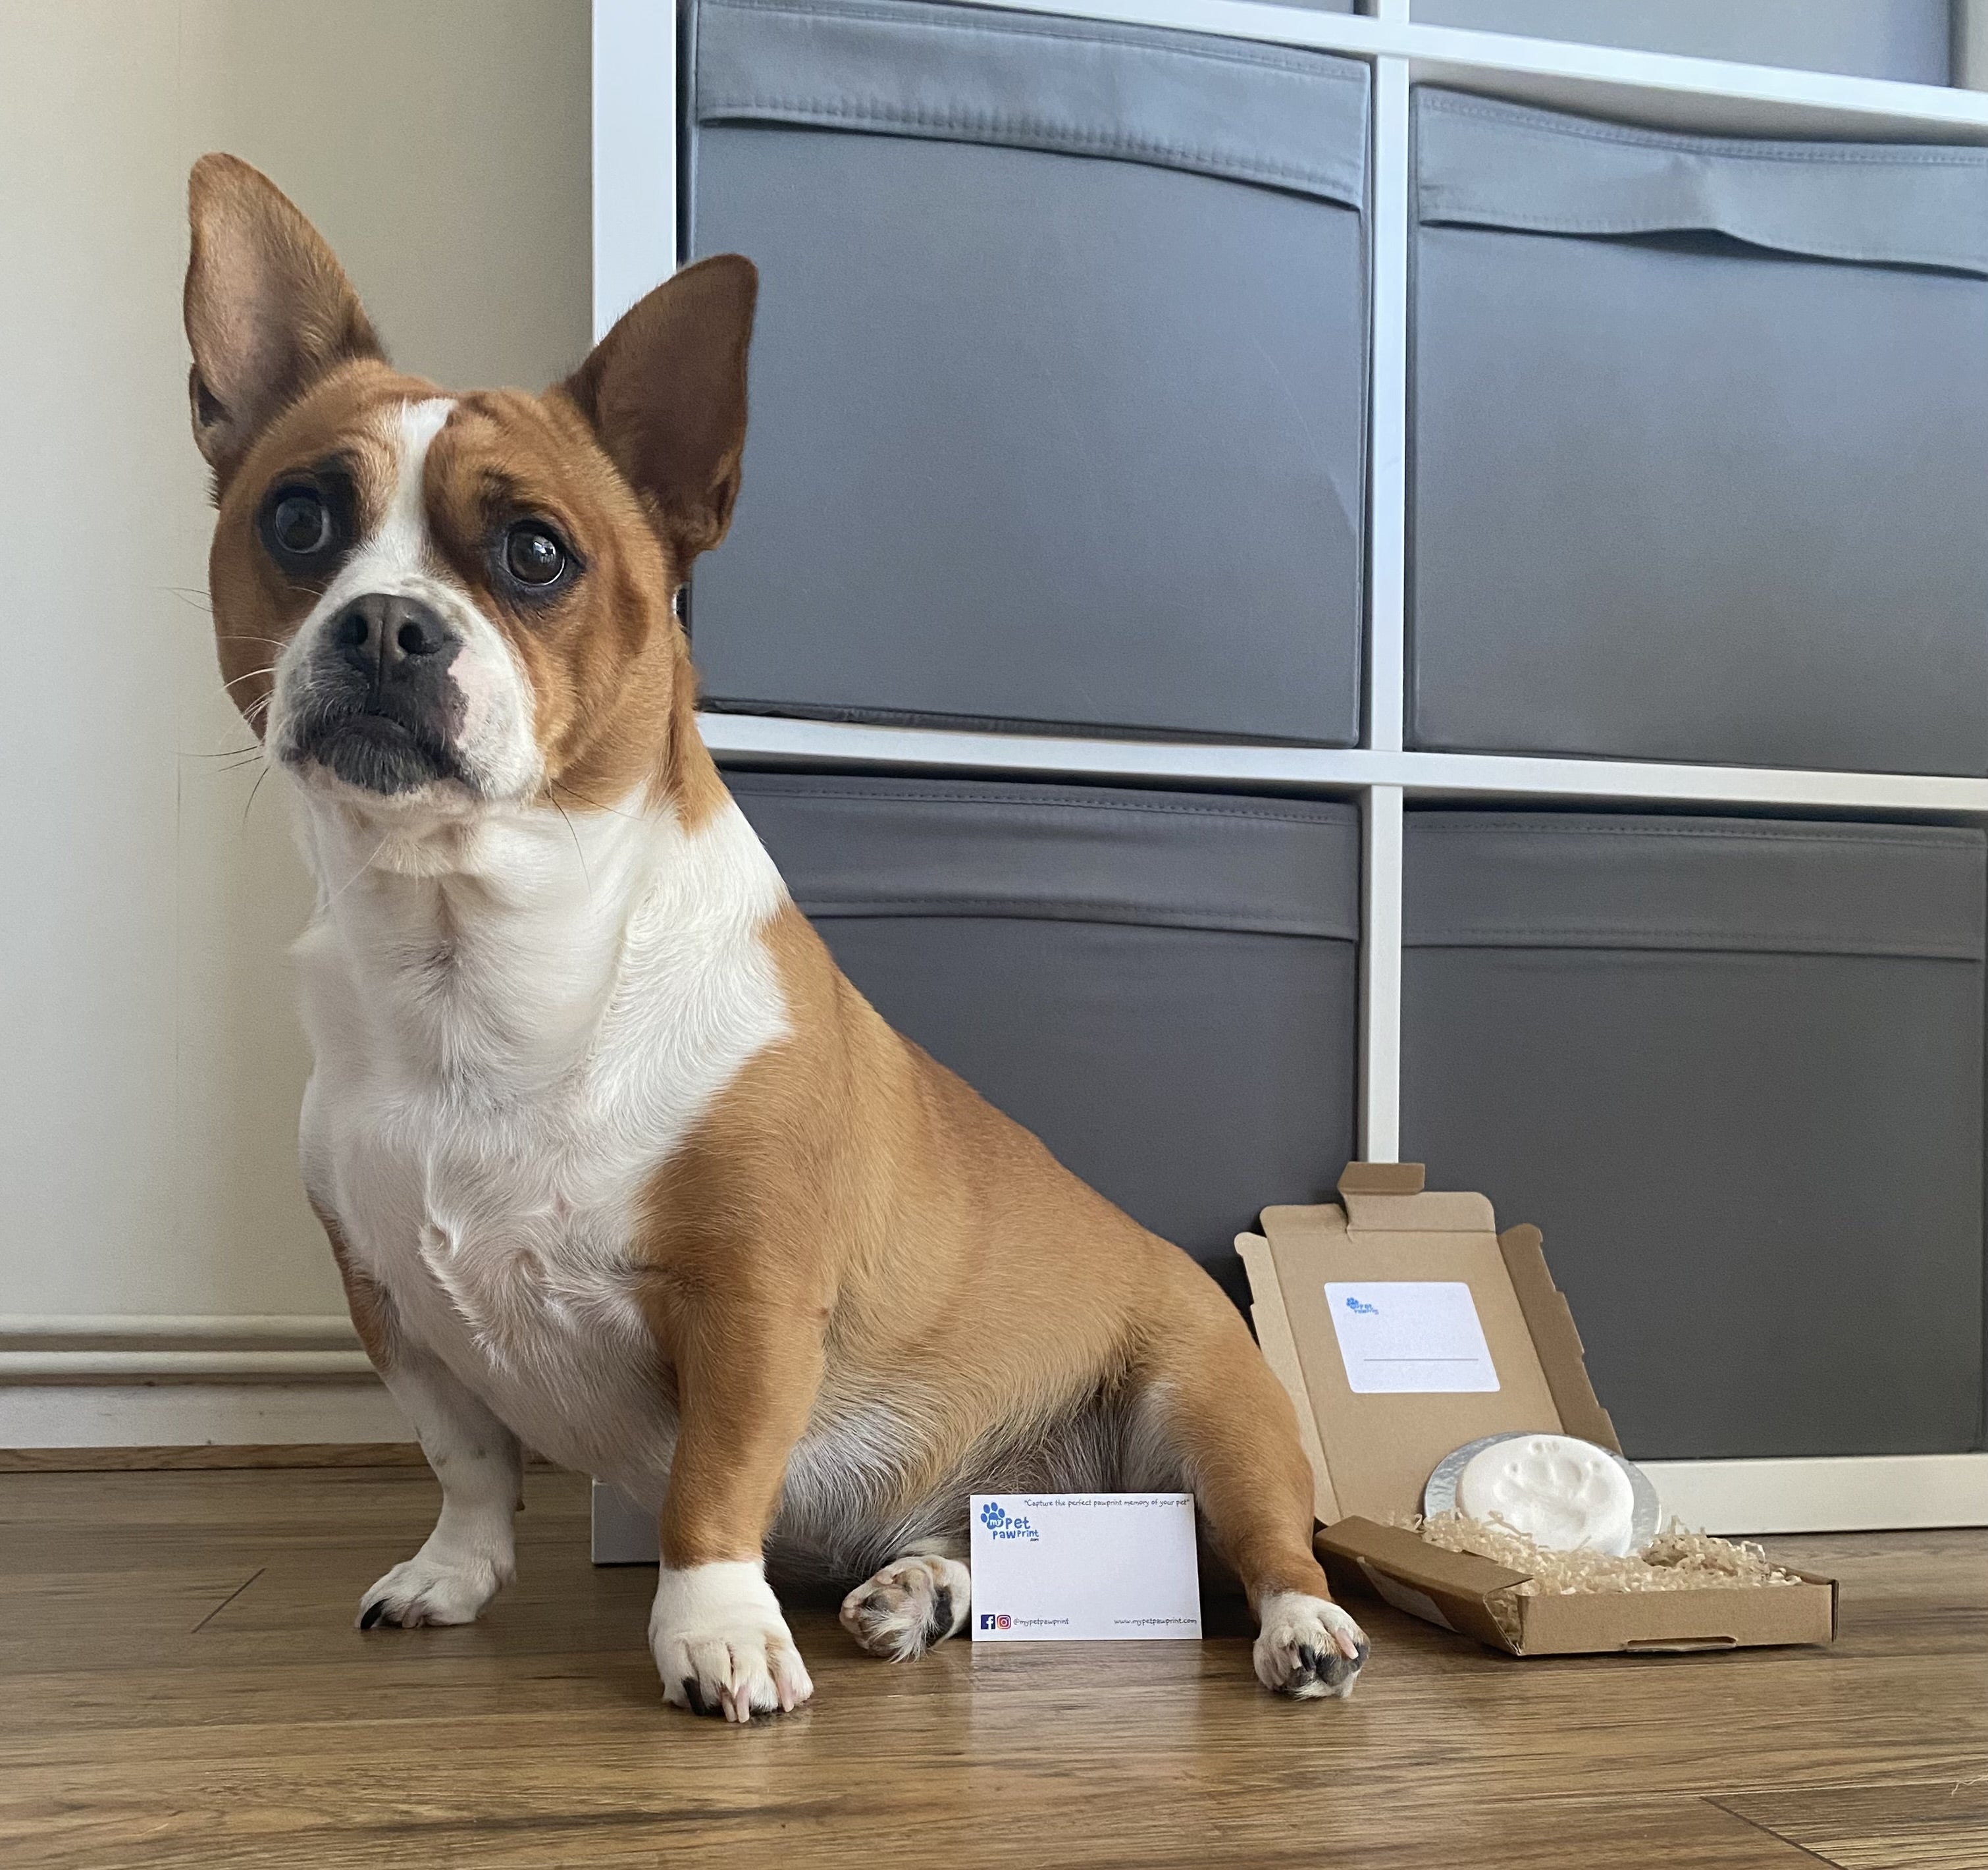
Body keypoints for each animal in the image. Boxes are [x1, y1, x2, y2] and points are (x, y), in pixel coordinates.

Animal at [182, 153, 1367, 1719]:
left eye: (536, 553)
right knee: (971, 1539)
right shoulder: (395, 1311)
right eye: (299, 523)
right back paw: (920, 1592)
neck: (480, 958)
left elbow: (712, 1486)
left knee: (1274, 1542)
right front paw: (455, 1574)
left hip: (1211, 1412)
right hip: (1011, 1497)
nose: (384, 625)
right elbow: (468, 1462)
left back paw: (1302, 1628)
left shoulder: (748, 1303)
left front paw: (715, 1633)